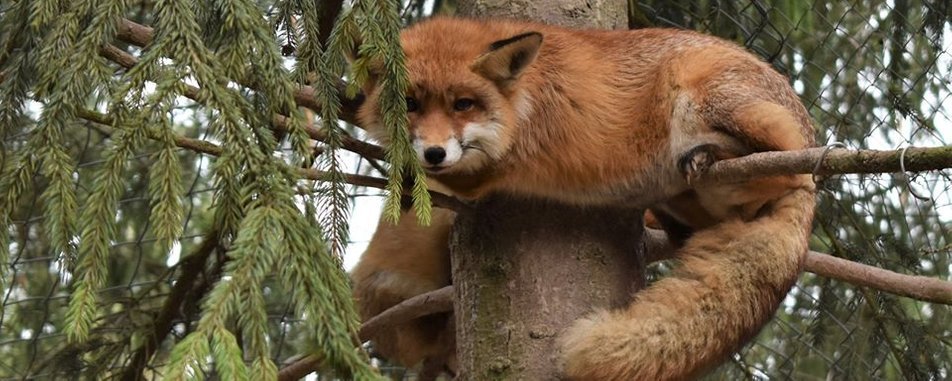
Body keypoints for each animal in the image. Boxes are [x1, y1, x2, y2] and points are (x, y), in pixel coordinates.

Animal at [354, 17, 816, 380]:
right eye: (410, 104)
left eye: (463, 104)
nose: (434, 153)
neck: (524, 98)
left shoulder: (489, 173)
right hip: (680, 202)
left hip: (705, 98)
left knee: (784, 168)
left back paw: (711, 155)